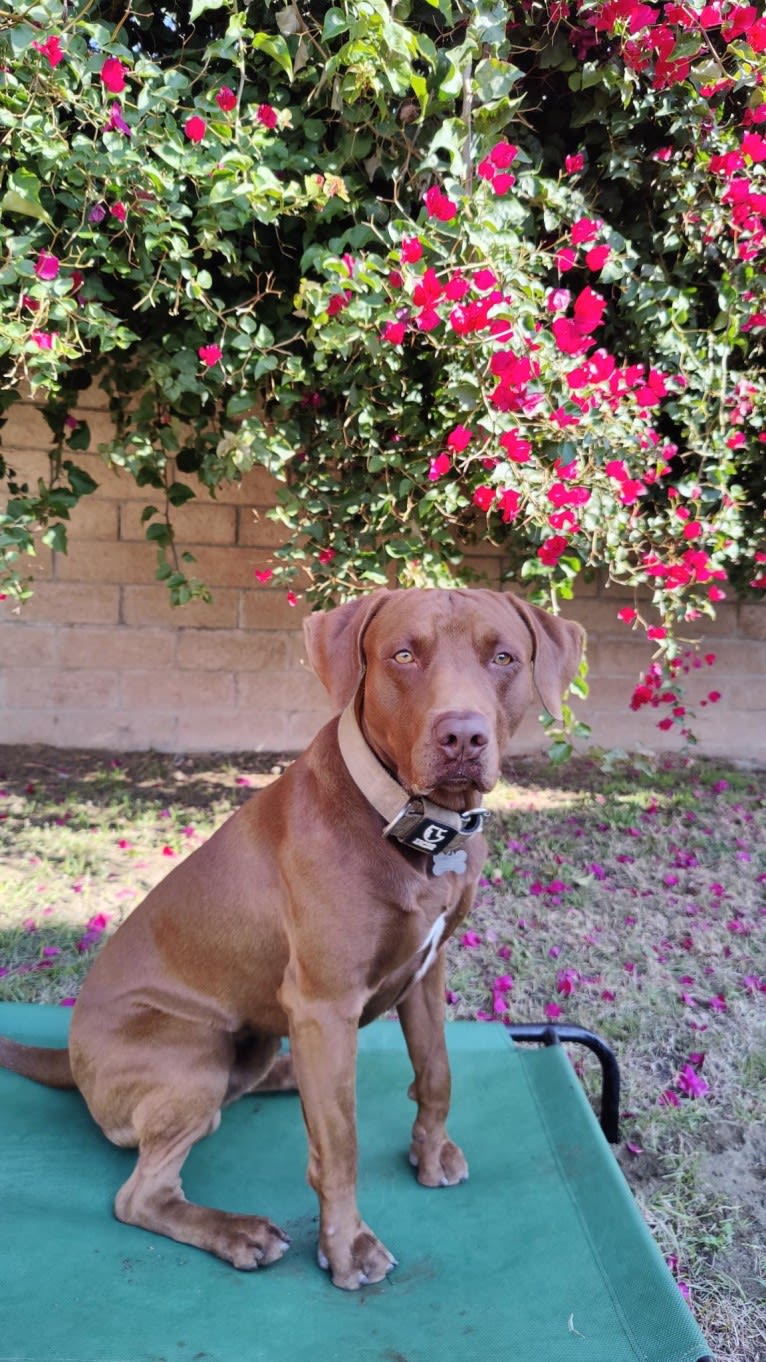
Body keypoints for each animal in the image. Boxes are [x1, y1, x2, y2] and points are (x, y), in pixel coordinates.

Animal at [0, 585, 577, 1285]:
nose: (462, 734)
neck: (411, 826)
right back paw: (235, 1229)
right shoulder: (325, 1004)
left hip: (260, 1041)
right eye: (403, 655)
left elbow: (436, 1070)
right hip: (191, 1060)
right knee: (142, 1195)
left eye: (503, 657)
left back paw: (283, 1077)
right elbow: (340, 1146)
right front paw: (346, 1245)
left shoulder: (426, 971)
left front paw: (430, 1150)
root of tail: (71, 1058)